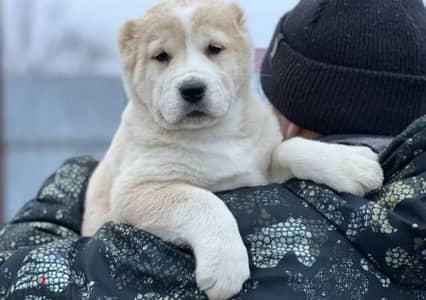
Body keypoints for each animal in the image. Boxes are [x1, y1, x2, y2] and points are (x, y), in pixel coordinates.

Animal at [81, 1, 384, 298]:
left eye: (214, 48)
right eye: (161, 56)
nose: (192, 89)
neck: (212, 134)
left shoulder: (263, 170)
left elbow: (289, 147)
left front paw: (352, 163)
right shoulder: (133, 190)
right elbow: (202, 200)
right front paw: (224, 265)